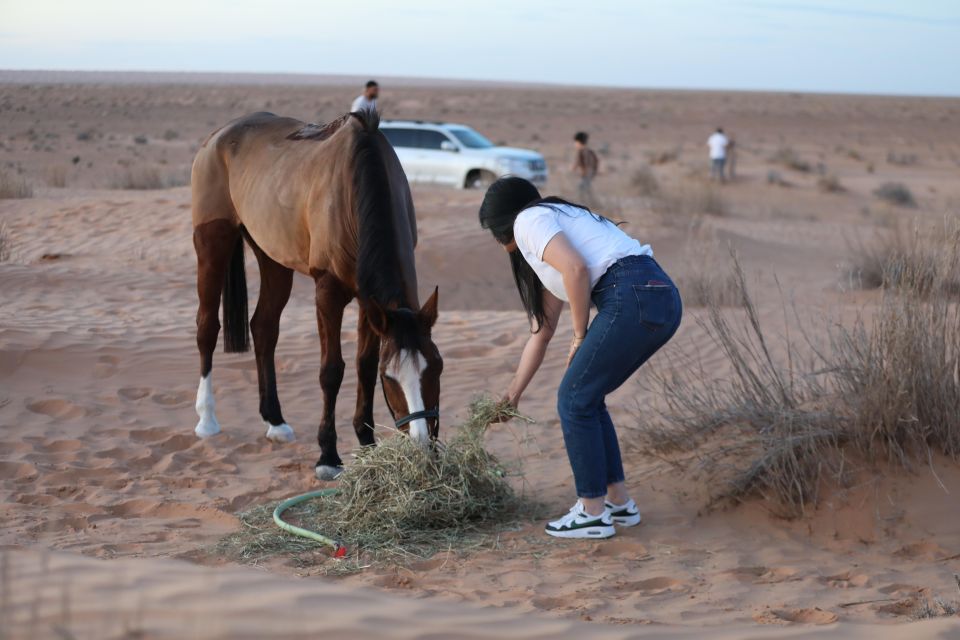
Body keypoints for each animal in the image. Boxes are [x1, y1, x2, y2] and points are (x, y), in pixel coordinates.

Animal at [190, 111, 442, 480]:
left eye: (437, 367)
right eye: (391, 378)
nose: (423, 443)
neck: (354, 187)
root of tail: (216, 137)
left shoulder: (370, 304)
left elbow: (363, 366)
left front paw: (366, 443)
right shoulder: (329, 294)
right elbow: (331, 371)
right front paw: (328, 455)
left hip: (273, 259)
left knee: (263, 328)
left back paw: (275, 421)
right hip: (212, 243)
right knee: (207, 328)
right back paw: (207, 420)